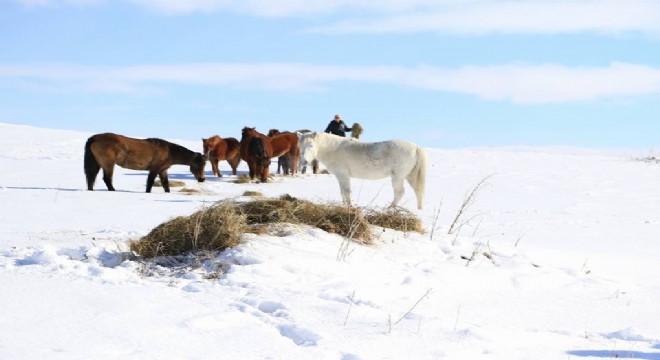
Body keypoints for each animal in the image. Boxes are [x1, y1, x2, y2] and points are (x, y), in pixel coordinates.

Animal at [300, 131, 428, 211]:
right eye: (300, 146)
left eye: (311, 145)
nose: (304, 162)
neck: (333, 149)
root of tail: (416, 147)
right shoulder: (339, 176)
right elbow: (342, 192)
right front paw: (343, 206)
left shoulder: (343, 175)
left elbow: (347, 191)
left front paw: (350, 207)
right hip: (410, 176)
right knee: (418, 191)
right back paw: (419, 209)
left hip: (398, 177)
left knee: (400, 192)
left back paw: (389, 208)